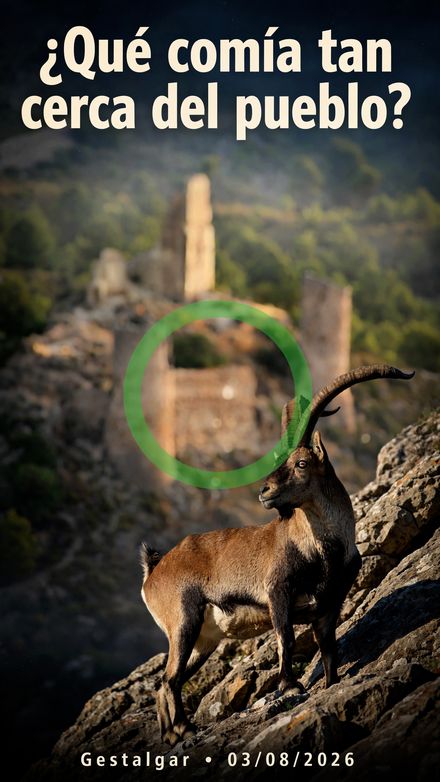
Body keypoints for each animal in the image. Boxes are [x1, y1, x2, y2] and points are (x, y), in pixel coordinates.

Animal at [140, 364, 414, 745]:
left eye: (300, 463)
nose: (264, 491)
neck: (323, 551)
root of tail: (153, 569)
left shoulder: (329, 606)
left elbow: (329, 649)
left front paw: (331, 684)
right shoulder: (277, 592)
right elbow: (285, 637)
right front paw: (289, 685)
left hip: (203, 640)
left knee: (166, 683)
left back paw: (171, 735)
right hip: (183, 621)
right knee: (168, 680)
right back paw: (183, 728)